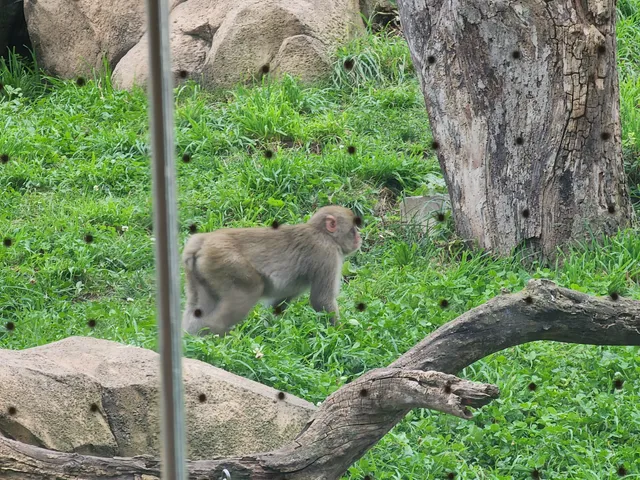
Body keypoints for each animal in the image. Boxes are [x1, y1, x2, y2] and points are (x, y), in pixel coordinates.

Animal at [181, 205, 362, 336]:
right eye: (353, 229)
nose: (359, 237)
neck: (322, 233)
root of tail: (203, 240)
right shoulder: (327, 255)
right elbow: (322, 300)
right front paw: (341, 334)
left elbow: (279, 303)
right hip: (224, 261)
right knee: (250, 290)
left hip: (201, 270)